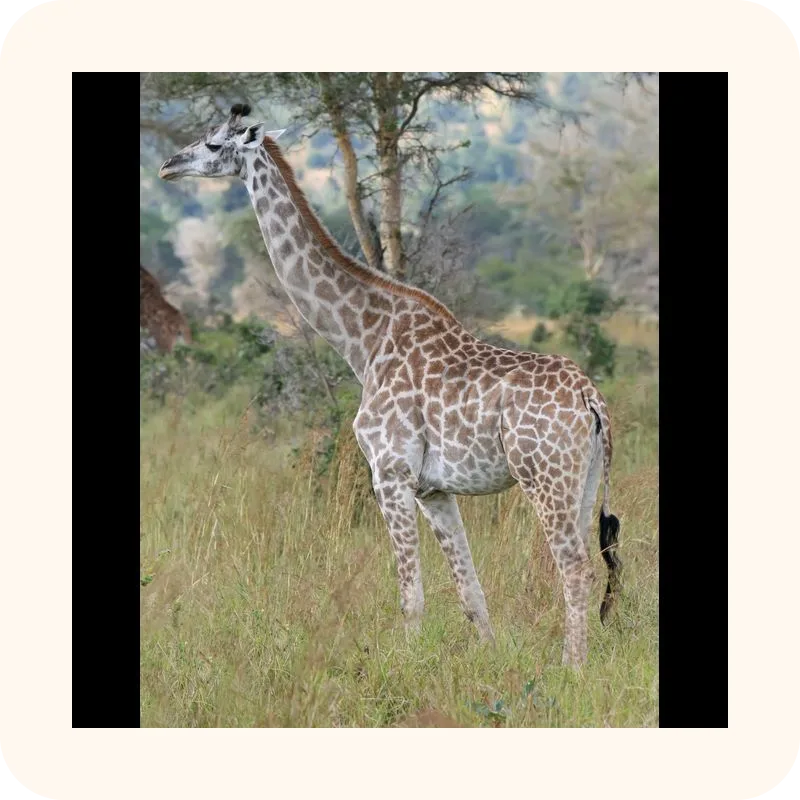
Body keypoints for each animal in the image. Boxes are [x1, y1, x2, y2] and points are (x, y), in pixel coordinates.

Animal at [158, 104, 622, 666]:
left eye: (211, 143)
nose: (167, 166)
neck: (363, 341)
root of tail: (591, 399)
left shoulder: (389, 472)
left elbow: (410, 596)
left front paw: (405, 668)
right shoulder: (434, 489)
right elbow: (470, 592)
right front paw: (489, 660)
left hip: (543, 475)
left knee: (574, 567)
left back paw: (571, 669)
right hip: (585, 478)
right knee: (586, 563)